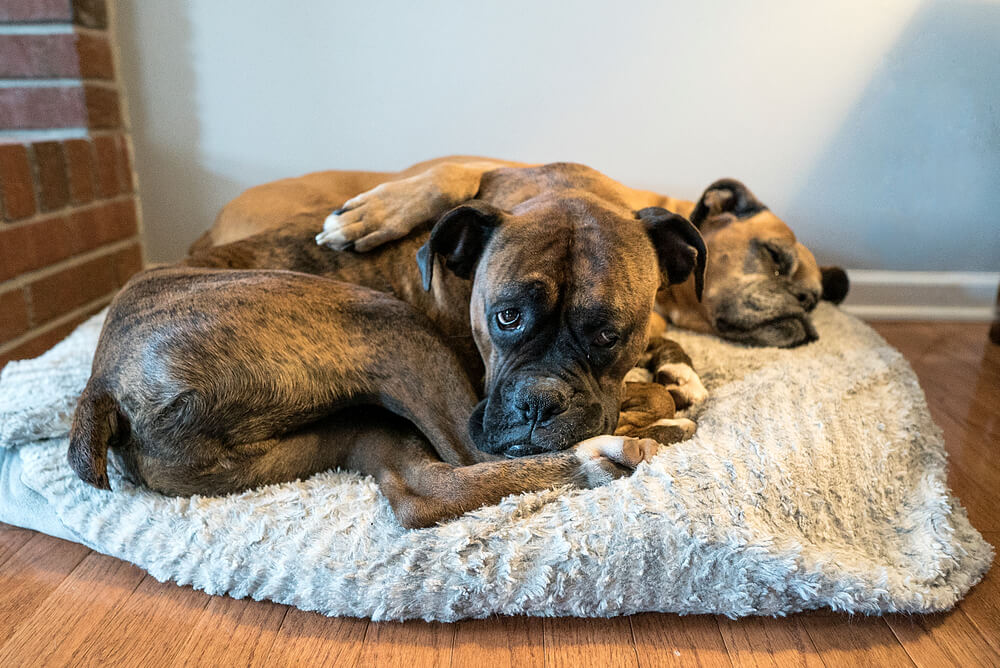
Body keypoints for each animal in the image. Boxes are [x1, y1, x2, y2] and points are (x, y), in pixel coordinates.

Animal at [70, 162, 708, 528]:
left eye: (606, 334)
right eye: (504, 317)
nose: (537, 404)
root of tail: (101, 388)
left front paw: (674, 376)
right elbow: (644, 398)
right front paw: (657, 404)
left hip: (351, 432)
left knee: (418, 489)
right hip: (388, 322)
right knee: (469, 458)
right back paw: (610, 452)